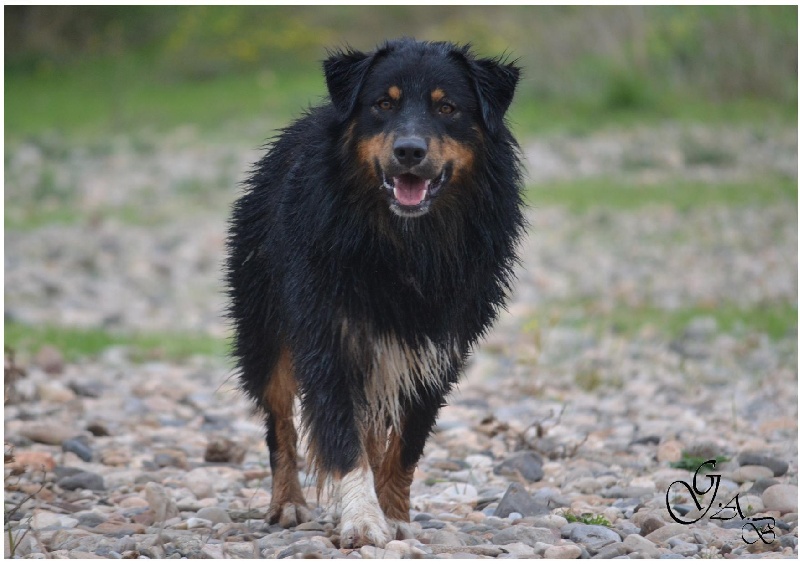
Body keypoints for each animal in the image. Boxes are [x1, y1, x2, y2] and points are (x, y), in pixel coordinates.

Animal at [225, 38, 524, 548]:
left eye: (447, 108)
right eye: (384, 104)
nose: (409, 151)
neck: (405, 241)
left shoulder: (437, 346)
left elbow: (406, 441)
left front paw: (394, 514)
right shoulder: (328, 334)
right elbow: (343, 440)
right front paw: (363, 519)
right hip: (266, 328)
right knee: (280, 421)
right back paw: (288, 503)